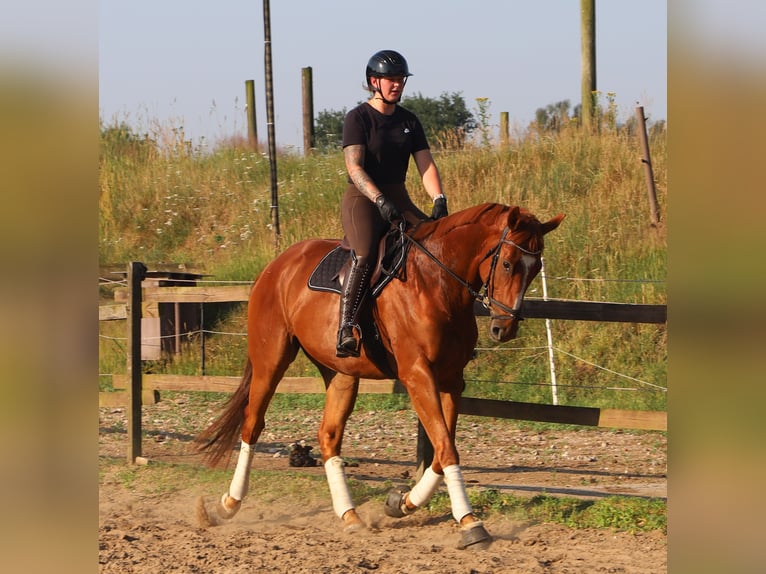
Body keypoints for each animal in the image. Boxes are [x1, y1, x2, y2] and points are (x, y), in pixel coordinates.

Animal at [196, 202, 564, 549]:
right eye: (507, 264)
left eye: (536, 269)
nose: (505, 329)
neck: (438, 282)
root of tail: (276, 265)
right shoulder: (418, 375)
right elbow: (445, 448)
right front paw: (471, 524)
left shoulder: (451, 380)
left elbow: (442, 450)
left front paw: (402, 503)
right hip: (271, 360)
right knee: (252, 424)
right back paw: (228, 505)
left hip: (340, 373)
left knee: (328, 436)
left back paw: (350, 516)